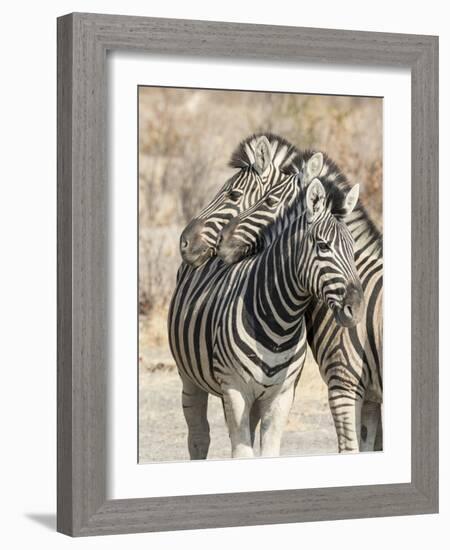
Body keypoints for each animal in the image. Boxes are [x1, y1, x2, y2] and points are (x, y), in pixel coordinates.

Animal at [171, 174, 364, 462]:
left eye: (353, 250)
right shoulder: (235, 389)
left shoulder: (281, 395)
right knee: (198, 437)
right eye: (322, 246)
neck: (280, 321)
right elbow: (241, 453)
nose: (357, 307)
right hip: (190, 377)